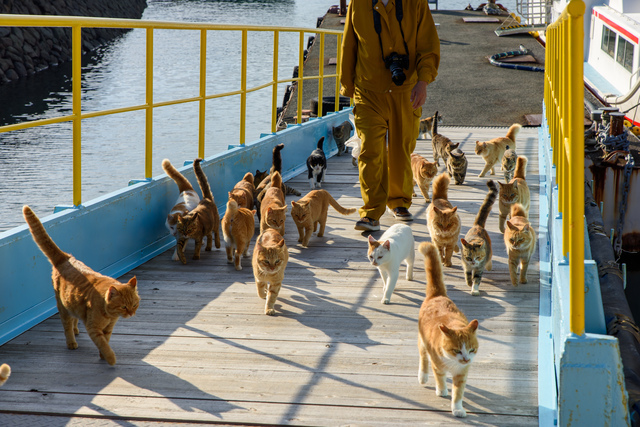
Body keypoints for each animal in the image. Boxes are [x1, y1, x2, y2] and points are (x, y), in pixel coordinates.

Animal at [22, 206, 140, 366]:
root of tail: (66, 257)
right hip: (63, 307)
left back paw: (76, 329)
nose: (131, 313)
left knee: (74, 319)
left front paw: (103, 356)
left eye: (134, 305)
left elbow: (106, 341)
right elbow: (103, 344)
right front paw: (110, 358)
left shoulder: (108, 329)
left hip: (72, 303)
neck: (110, 315)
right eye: (123, 307)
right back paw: (71, 342)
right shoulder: (93, 328)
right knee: (67, 326)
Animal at [418, 242, 478, 420]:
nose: (466, 359)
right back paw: (423, 376)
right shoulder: (437, 364)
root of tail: (437, 295)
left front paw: (457, 409)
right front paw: (442, 390)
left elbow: (458, 394)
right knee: (423, 358)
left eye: (472, 350)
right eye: (457, 350)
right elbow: (440, 378)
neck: (453, 363)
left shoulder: (461, 374)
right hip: (422, 343)